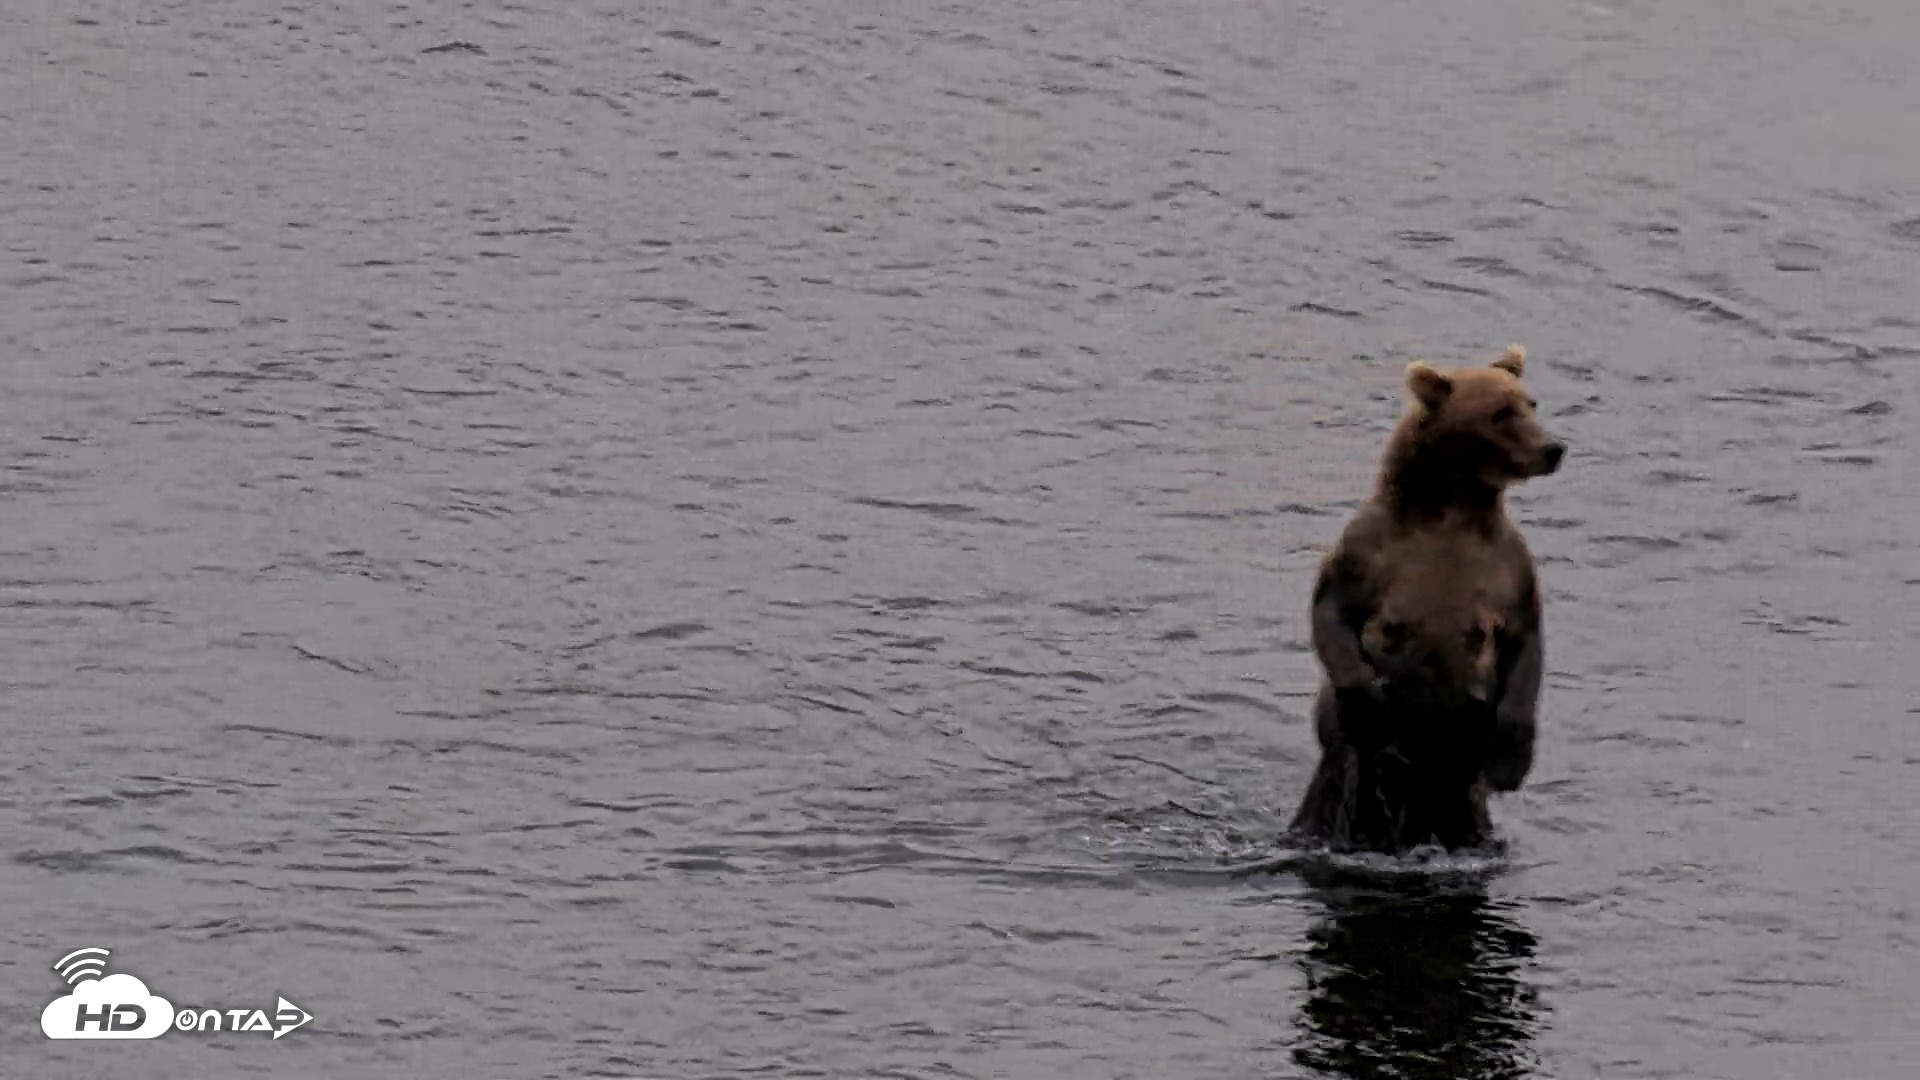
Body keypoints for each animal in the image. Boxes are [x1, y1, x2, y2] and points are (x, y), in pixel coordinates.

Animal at [1288, 344, 1565, 854]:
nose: (1552, 448)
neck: (1451, 507)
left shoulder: (1509, 567)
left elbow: (1525, 641)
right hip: (1354, 767)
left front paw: (1512, 758)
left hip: (1460, 772)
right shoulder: (1370, 550)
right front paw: (1369, 704)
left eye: (1531, 403)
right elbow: (1331, 609)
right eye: (1501, 412)